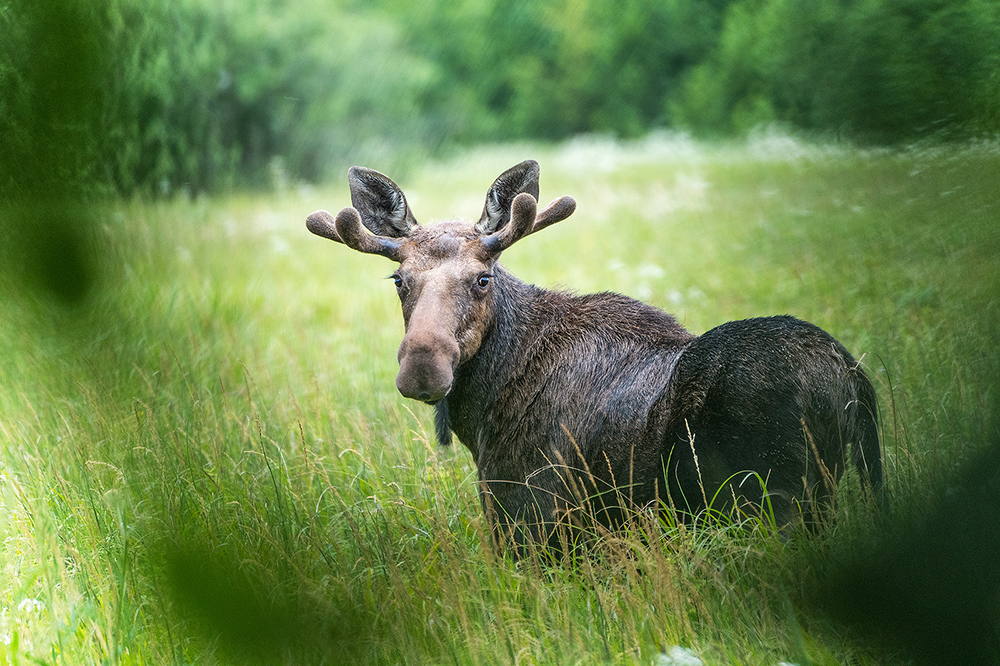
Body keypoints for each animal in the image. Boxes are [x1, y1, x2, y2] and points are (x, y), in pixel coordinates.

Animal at [306, 160, 884, 548]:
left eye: (482, 278)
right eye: (399, 280)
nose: (423, 367)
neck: (483, 412)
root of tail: (855, 381)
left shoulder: (531, 522)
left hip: (779, 502)